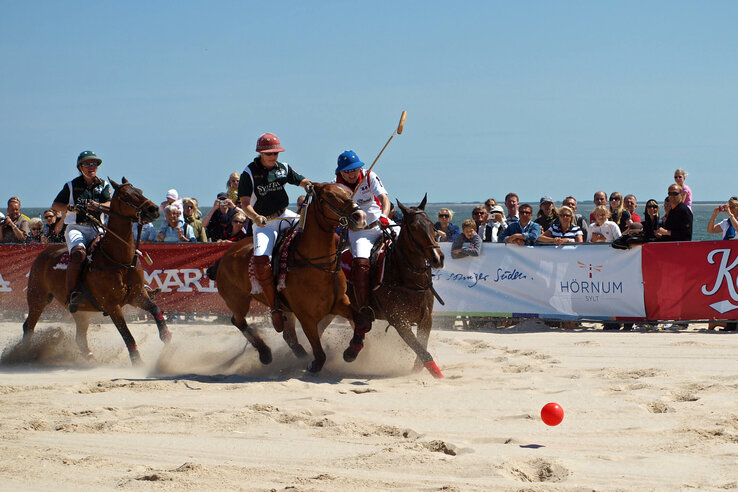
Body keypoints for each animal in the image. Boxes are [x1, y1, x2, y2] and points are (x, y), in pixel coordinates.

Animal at [22, 177, 172, 364]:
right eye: (125, 195)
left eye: (140, 190)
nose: (154, 209)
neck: (119, 259)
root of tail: (42, 254)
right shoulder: (112, 305)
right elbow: (127, 335)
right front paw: (138, 362)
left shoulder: (138, 295)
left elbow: (155, 309)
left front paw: (167, 339)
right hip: (38, 297)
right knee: (28, 326)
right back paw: (23, 354)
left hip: (79, 310)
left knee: (79, 337)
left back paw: (90, 358)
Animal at [212, 182, 366, 373]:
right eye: (330, 195)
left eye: (348, 193)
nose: (360, 216)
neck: (316, 264)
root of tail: (224, 257)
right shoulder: (305, 316)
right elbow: (319, 354)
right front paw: (313, 364)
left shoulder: (340, 303)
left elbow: (360, 320)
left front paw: (352, 351)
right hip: (237, 301)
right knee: (238, 321)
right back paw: (266, 353)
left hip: (282, 308)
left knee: (288, 335)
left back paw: (296, 353)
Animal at [342, 195, 446, 378]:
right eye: (413, 227)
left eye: (432, 224)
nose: (437, 258)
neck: (409, 280)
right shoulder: (399, 321)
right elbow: (422, 351)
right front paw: (438, 376)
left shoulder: (426, 318)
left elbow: (421, 349)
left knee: (359, 323)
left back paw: (352, 350)